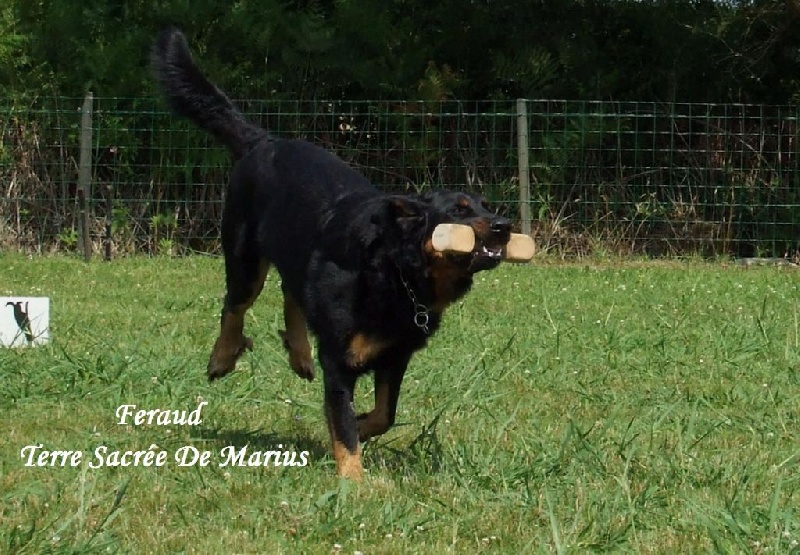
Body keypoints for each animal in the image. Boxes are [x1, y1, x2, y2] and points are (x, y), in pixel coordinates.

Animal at [151, 27, 512, 478]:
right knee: (234, 305)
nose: (505, 226)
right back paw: (222, 356)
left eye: (486, 206)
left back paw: (299, 353)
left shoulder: (394, 357)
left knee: (291, 295)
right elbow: (343, 423)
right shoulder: (340, 361)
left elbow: (383, 415)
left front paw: (360, 426)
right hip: (244, 257)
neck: (396, 274)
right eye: (460, 211)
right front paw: (354, 480)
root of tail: (264, 141)